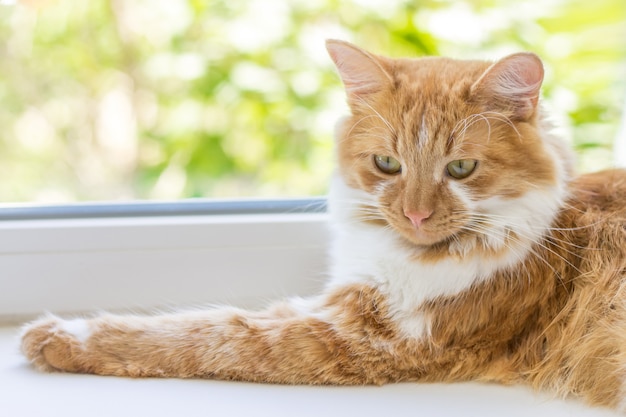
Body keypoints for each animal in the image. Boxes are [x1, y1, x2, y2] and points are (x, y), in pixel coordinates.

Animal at [22, 40, 624, 412]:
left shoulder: (362, 334)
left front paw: (58, 336)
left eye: (460, 169)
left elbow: (199, 332)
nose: (415, 214)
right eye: (387, 164)